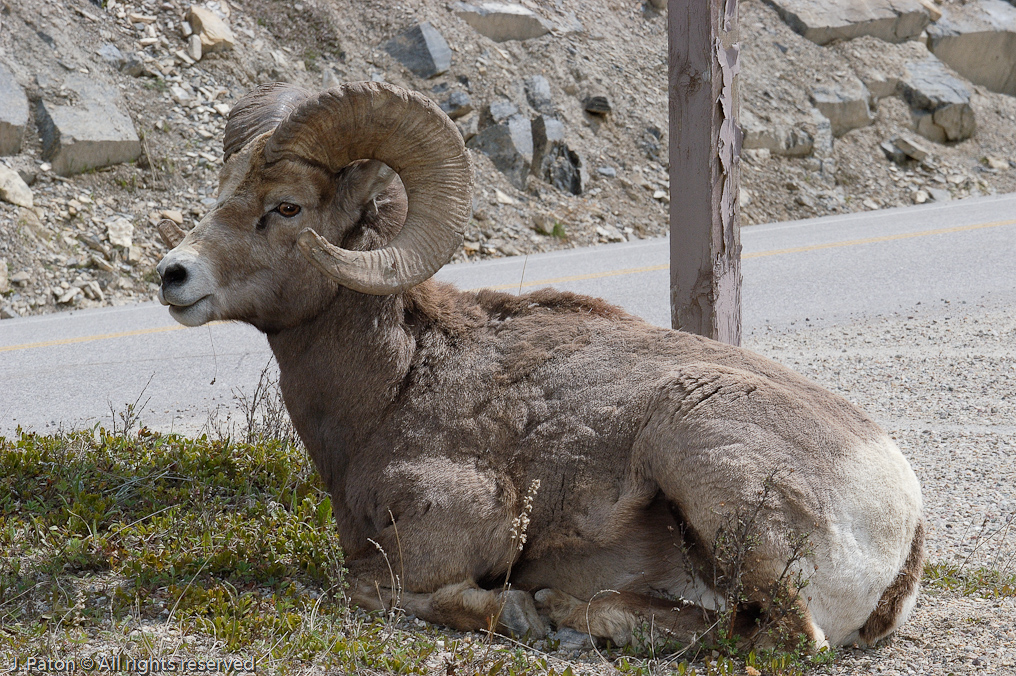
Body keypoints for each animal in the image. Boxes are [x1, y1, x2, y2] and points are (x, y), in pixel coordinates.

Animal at [156, 81, 924, 651]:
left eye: (286, 207)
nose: (173, 275)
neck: (397, 385)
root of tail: (903, 508)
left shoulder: (457, 528)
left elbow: (375, 588)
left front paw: (515, 610)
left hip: (700, 454)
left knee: (772, 634)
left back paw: (559, 609)